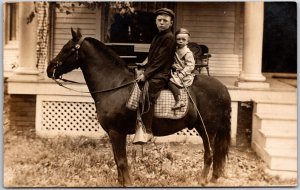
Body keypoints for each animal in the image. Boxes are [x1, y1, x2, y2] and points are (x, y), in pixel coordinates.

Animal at [46, 28, 232, 187]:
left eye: (67, 49)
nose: (49, 68)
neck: (115, 85)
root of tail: (223, 88)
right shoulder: (114, 134)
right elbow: (117, 160)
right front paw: (120, 182)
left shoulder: (116, 132)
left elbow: (121, 161)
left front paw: (127, 183)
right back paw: (214, 178)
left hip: (207, 129)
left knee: (209, 154)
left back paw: (202, 180)